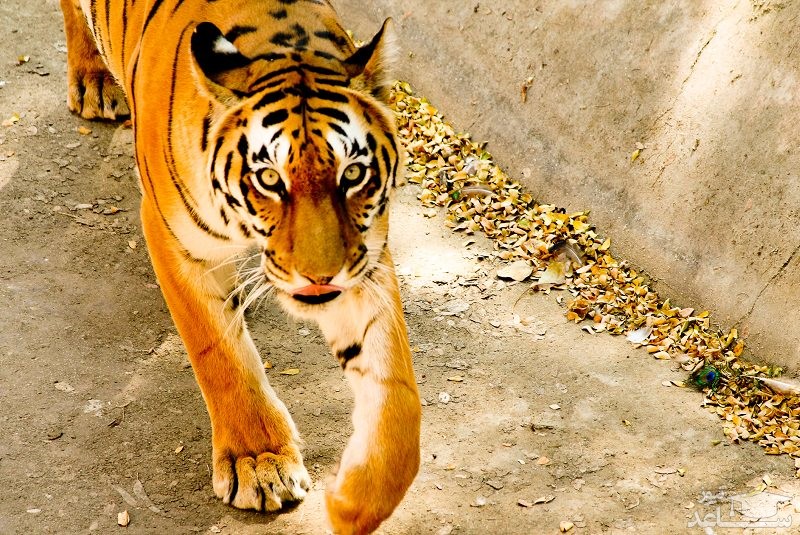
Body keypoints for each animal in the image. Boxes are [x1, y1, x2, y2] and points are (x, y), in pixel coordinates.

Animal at [57, 2, 422, 532]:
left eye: (353, 173)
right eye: (269, 179)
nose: (319, 276)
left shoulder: (364, 260)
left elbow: (397, 389)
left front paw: (356, 501)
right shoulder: (173, 239)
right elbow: (219, 352)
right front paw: (259, 462)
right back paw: (93, 78)